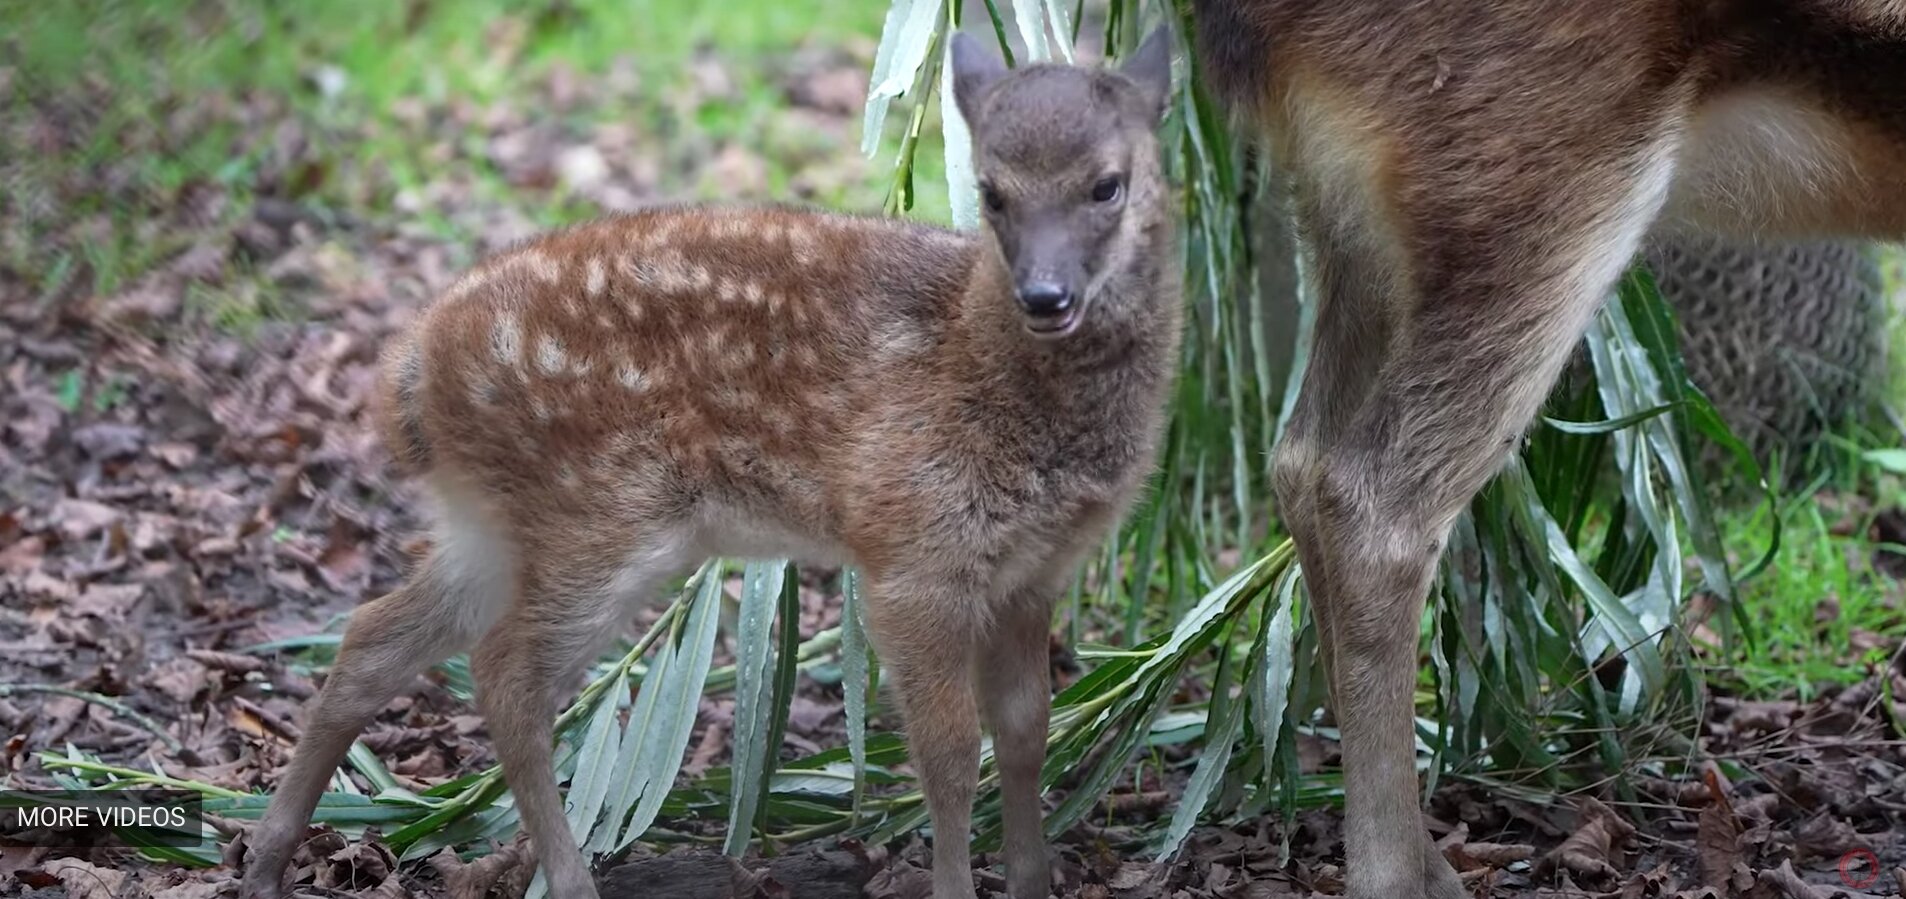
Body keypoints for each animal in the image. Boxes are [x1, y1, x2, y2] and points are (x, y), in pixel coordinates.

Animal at [239, 28, 1178, 899]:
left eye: (1107, 183)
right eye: (990, 190)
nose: (1046, 296)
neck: (978, 356)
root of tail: (413, 372)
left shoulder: (1034, 571)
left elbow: (1025, 732)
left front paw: (1034, 880)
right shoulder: (913, 553)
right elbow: (949, 754)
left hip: (497, 525)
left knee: (374, 635)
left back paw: (266, 857)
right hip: (604, 514)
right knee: (504, 677)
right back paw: (569, 878)